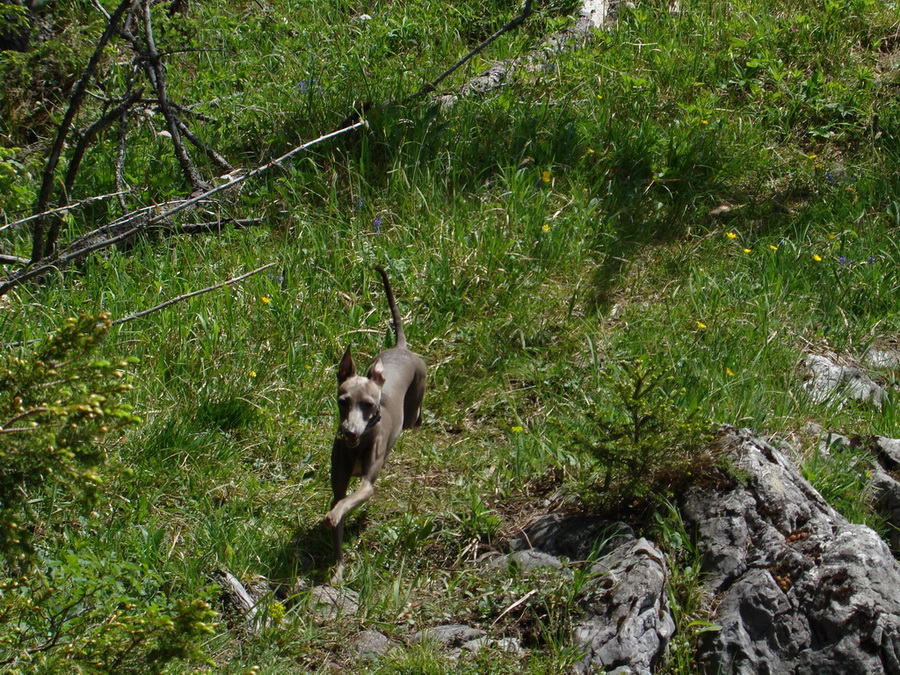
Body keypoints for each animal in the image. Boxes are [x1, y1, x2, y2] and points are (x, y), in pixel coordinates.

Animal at [324, 264, 426, 580]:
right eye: (342, 401)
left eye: (369, 405)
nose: (349, 431)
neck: (360, 444)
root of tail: (402, 348)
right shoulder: (339, 486)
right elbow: (340, 508)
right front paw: (338, 570)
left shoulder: (367, 484)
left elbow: (350, 501)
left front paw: (334, 516)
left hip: (414, 405)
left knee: (416, 418)